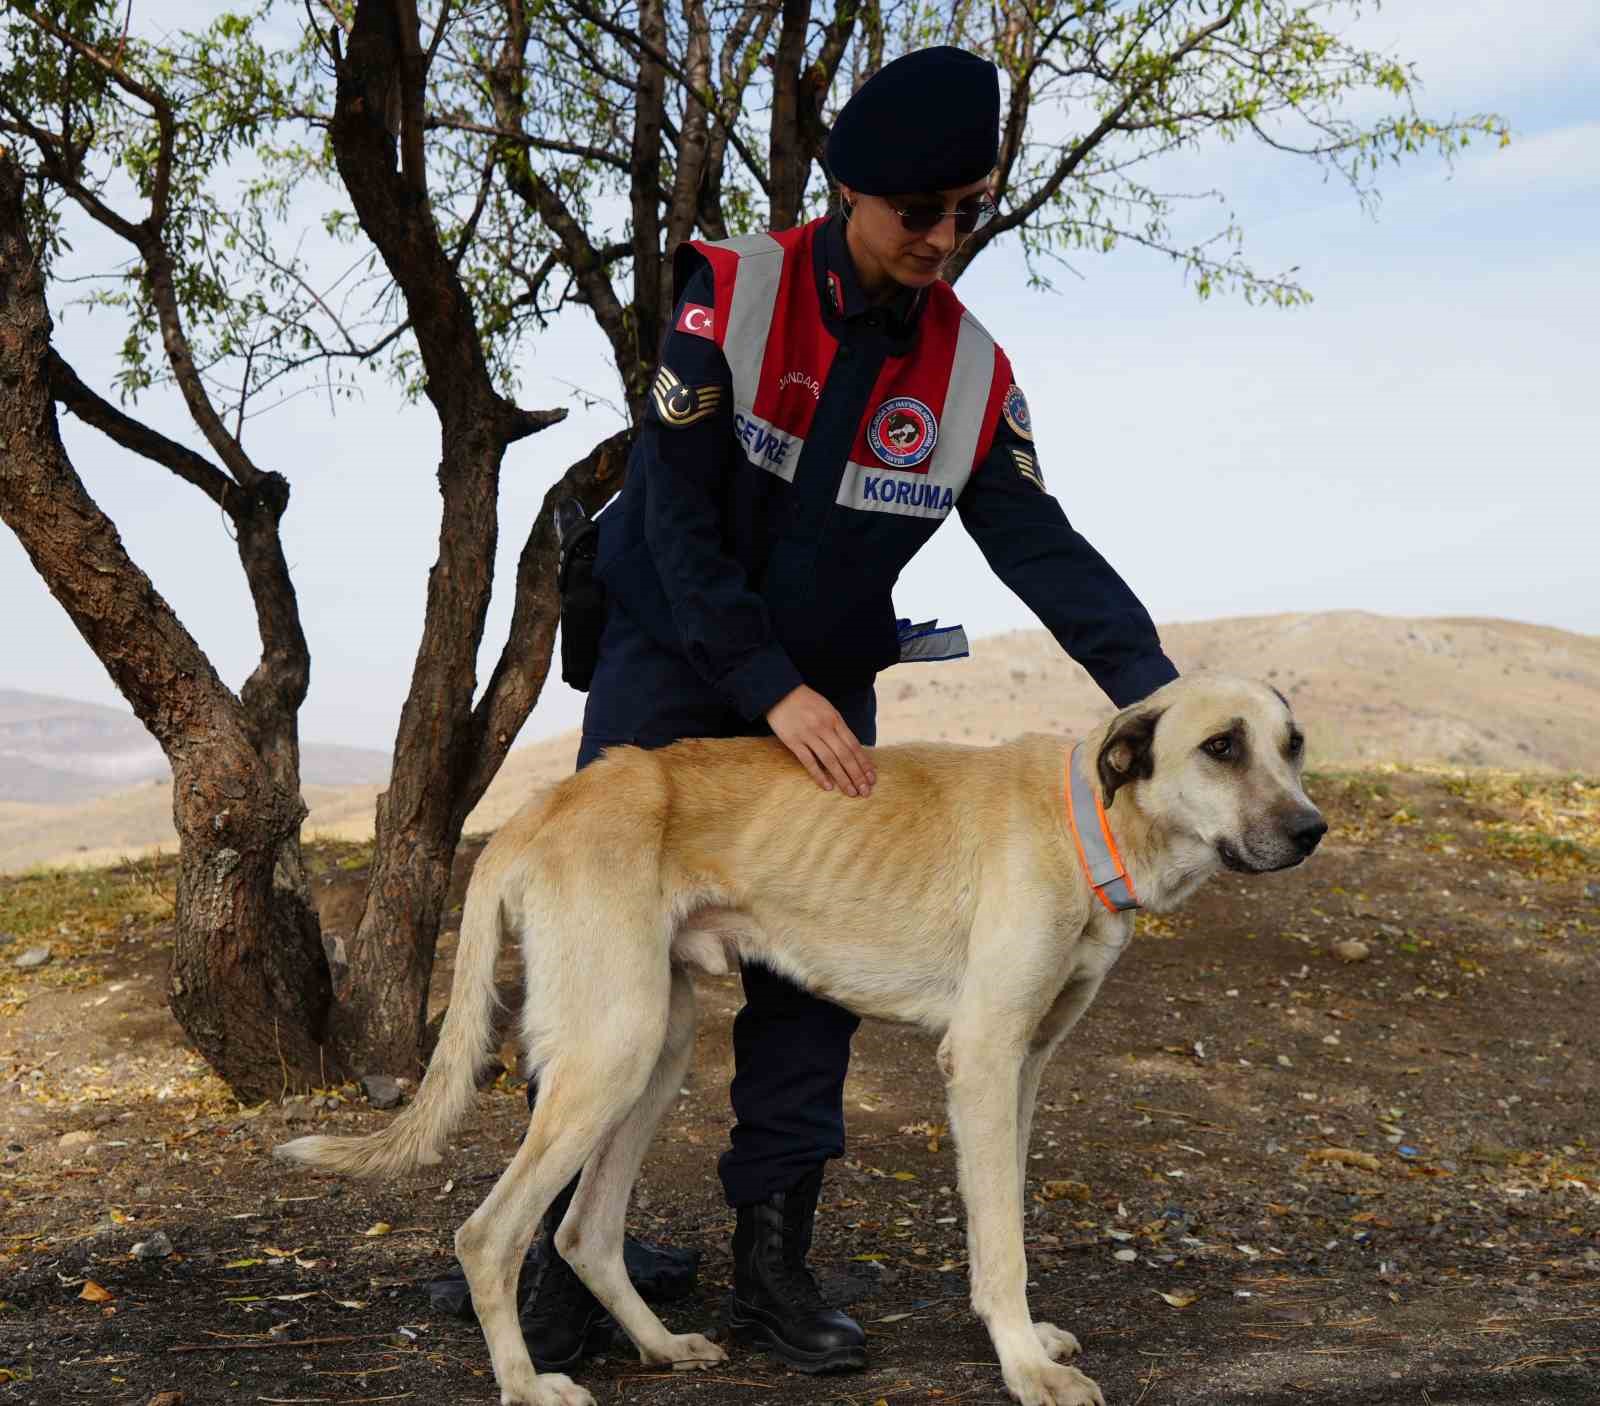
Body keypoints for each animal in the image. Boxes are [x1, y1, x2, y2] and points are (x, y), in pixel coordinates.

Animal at [278, 671, 1324, 1406]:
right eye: (1220, 747)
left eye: (1294, 746)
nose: (1313, 831)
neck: (1086, 824)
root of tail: (538, 811)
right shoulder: (983, 1060)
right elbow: (1001, 1244)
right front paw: (1025, 1365)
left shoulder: (1025, 1066)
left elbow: (1004, 1221)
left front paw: (1028, 1339)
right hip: (610, 1049)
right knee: (489, 1233)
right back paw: (528, 1382)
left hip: (655, 1052)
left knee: (582, 1230)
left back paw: (661, 1345)